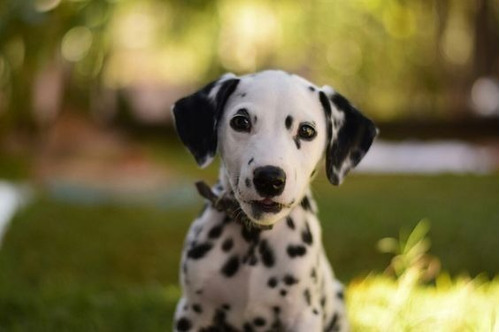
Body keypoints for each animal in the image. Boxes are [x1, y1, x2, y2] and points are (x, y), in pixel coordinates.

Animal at [171, 70, 376, 332]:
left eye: (306, 131)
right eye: (241, 122)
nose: (269, 179)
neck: (254, 239)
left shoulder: (303, 315)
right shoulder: (192, 313)